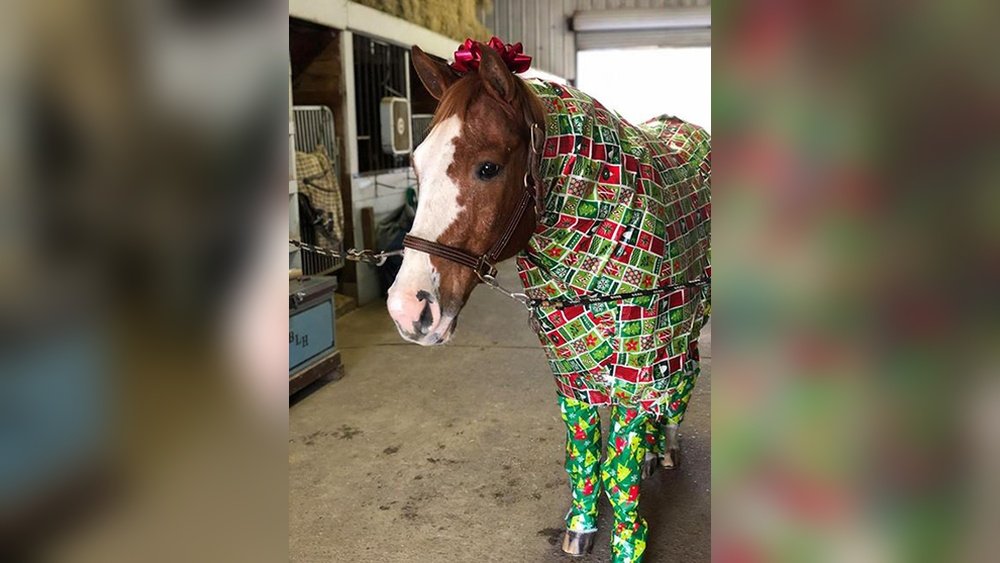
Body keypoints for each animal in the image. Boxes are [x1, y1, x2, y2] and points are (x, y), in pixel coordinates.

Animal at [387, 39, 710, 563]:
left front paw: (629, 544)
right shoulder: (569, 368)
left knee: (684, 382)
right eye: (416, 164)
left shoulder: (639, 361)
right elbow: (583, 454)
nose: (408, 309)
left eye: (489, 167)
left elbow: (617, 465)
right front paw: (581, 527)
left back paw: (665, 448)